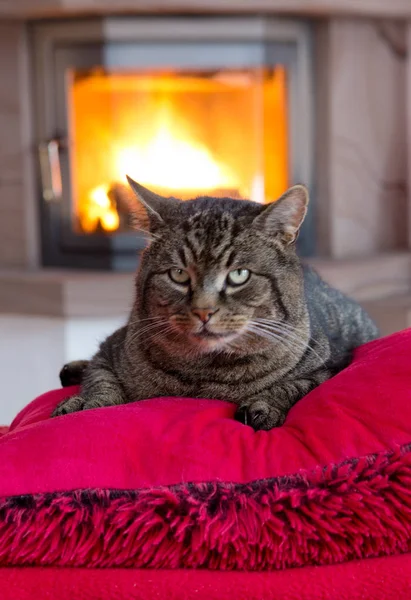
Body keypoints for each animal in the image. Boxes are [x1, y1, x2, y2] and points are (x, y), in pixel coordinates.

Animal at [54, 176, 380, 428]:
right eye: (178, 274)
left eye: (239, 274)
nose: (203, 311)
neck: (205, 373)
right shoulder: (112, 347)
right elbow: (102, 379)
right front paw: (86, 402)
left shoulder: (332, 364)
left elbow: (299, 384)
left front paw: (264, 405)